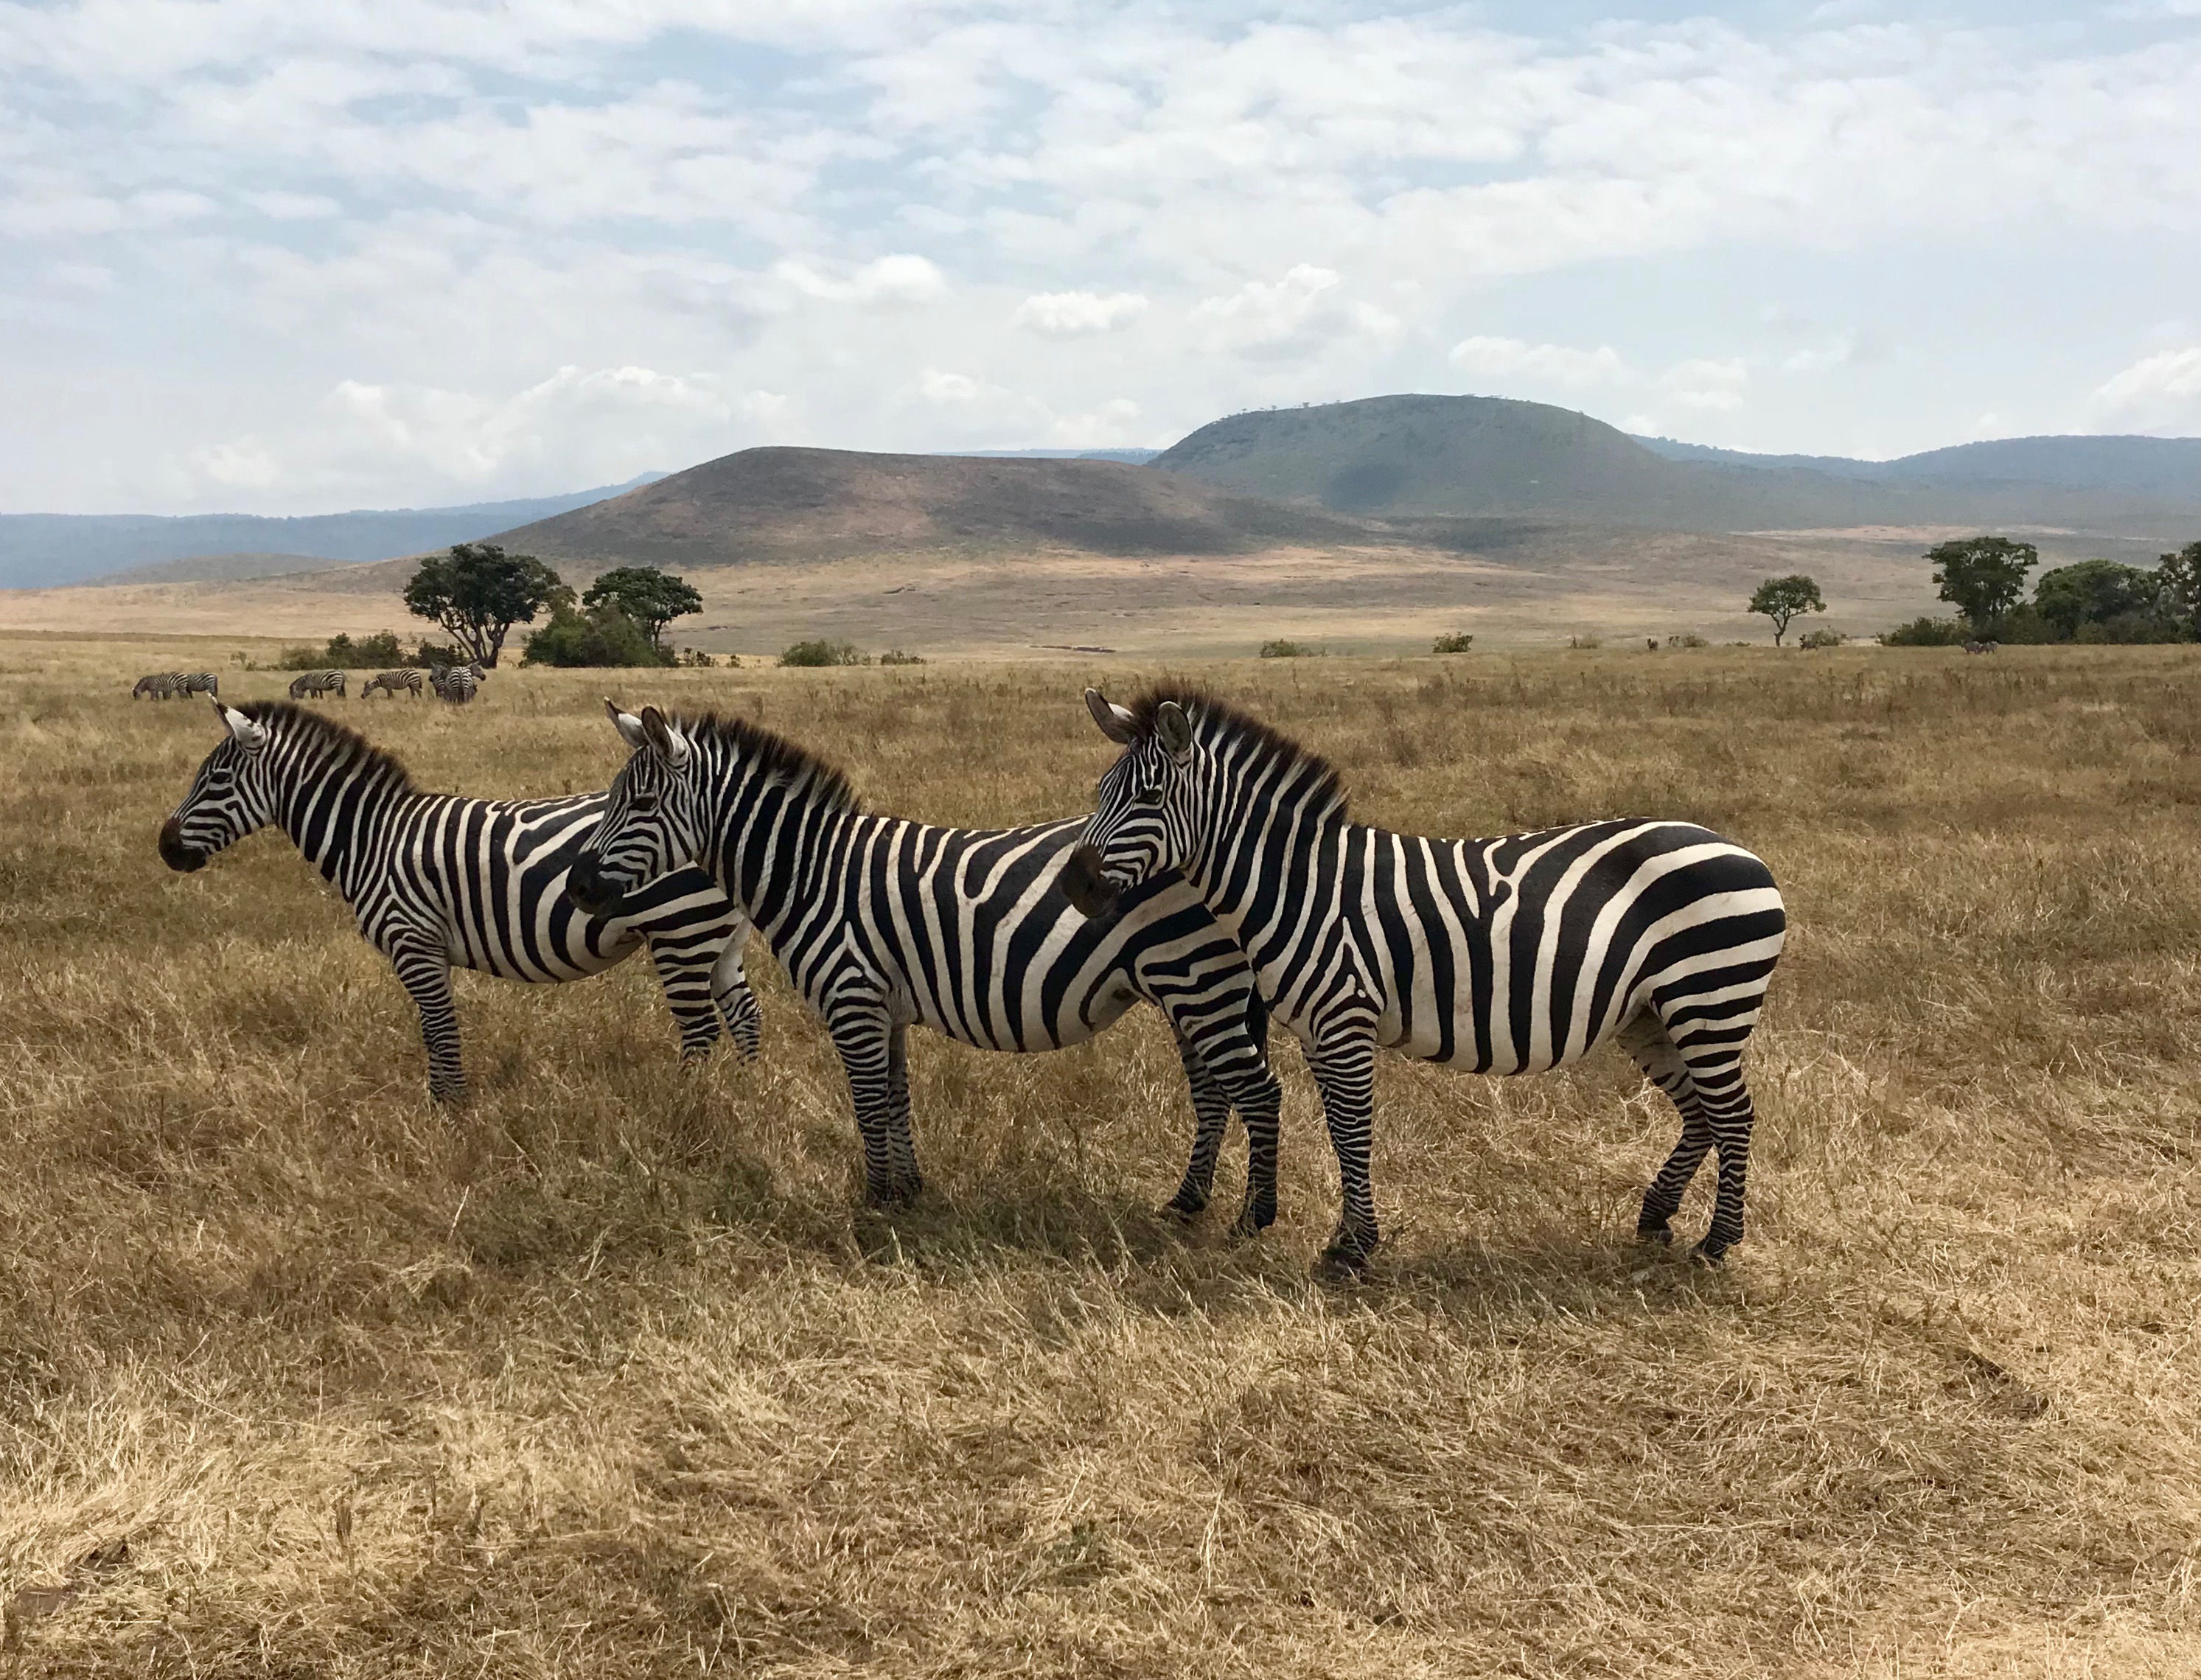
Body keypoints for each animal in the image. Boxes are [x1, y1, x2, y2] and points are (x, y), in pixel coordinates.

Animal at [160, 701, 761, 1102]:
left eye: (216, 779)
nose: (165, 848)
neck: (370, 838)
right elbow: (438, 1027)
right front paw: (448, 1103)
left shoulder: (414, 943)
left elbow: (438, 1028)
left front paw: (448, 1110)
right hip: (718, 938)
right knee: (746, 1014)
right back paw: (745, 1096)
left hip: (680, 930)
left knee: (702, 1030)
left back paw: (687, 1107)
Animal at [568, 704, 1285, 1224]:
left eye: (639, 805)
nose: (577, 887)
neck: (811, 874)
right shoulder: (884, 1007)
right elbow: (895, 1096)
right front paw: (909, 1190)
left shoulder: (852, 998)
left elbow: (866, 1102)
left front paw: (874, 1201)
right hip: (1190, 985)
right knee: (1215, 1092)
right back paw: (1185, 1204)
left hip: (1195, 978)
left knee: (1254, 1090)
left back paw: (1250, 1218)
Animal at [1071, 686, 1787, 1273]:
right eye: (1101, 792)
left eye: (1149, 797)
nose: (1078, 887)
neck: (1300, 887)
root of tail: (1744, 852)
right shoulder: (1315, 1031)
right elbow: (1338, 1129)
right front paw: (1346, 1239)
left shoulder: (1345, 1019)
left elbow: (1353, 1128)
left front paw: (1354, 1250)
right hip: (1651, 1014)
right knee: (1700, 1112)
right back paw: (1657, 1218)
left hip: (1709, 1000)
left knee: (1734, 1113)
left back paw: (1717, 1243)